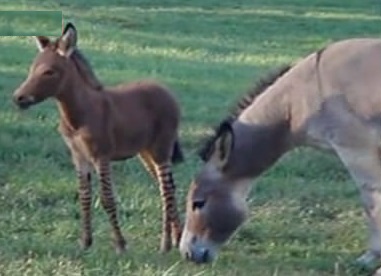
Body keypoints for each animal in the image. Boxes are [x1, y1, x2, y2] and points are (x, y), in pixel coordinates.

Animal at [11, 22, 183, 253]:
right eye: (32, 69)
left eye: (49, 72)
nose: (18, 98)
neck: (79, 114)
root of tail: (165, 89)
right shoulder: (79, 156)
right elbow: (84, 197)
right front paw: (85, 242)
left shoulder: (101, 155)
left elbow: (107, 198)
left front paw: (120, 244)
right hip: (146, 152)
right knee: (168, 187)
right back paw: (176, 239)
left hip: (161, 149)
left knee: (166, 191)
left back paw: (165, 244)